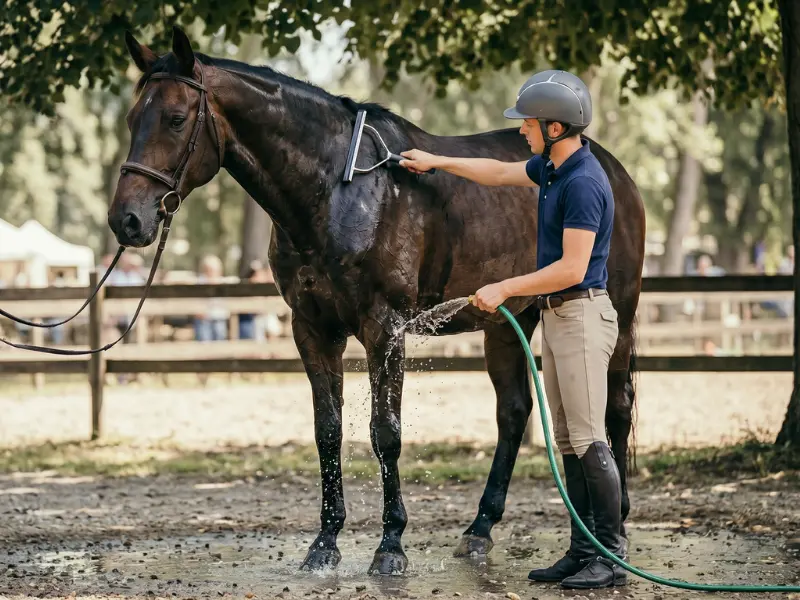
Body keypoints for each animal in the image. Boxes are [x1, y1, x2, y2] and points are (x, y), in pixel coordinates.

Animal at [110, 26, 645, 576]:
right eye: (132, 119)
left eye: (175, 119)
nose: (126, 220)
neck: (341, 189)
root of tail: (612, 170)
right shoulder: (312, 329)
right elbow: (328, 430)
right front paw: (325, 542)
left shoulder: (383, 328)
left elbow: (385, 433)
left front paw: (391, 544)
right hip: (506, 321)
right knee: (514, 413)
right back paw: (480, 530)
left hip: (619, 317)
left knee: (614, 407)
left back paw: (617, 524)